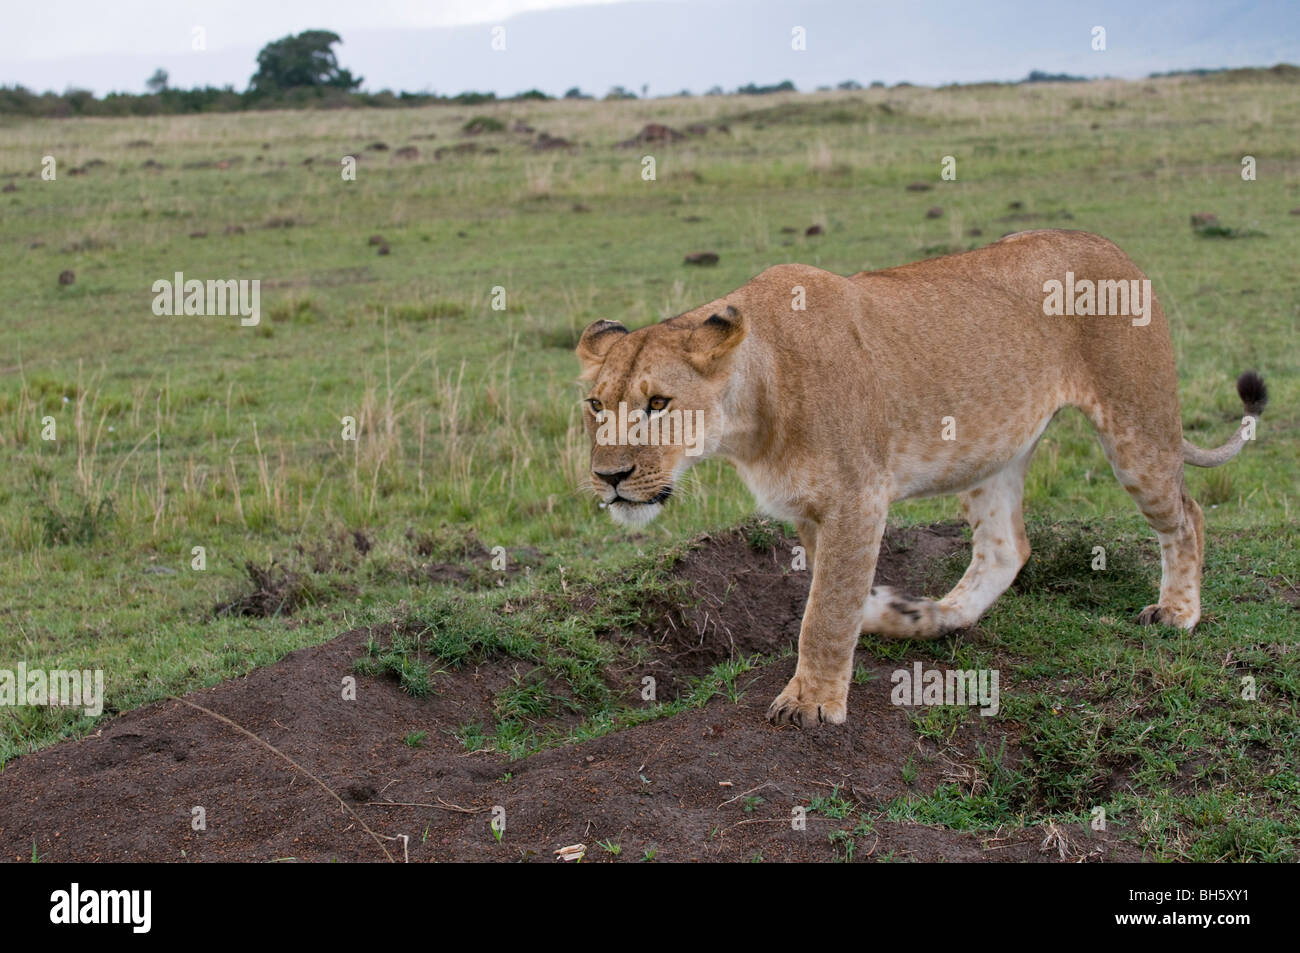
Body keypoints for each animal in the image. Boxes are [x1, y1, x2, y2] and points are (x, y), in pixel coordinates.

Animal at [575, 229, 1266, 728]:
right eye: (595, 405)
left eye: (658, 404)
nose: (609, 477)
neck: (751, 416)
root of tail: (1113, 246)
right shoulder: (812, 508)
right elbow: (835, 591)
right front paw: (877, 613)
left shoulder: (857, 497)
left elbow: (824, 612)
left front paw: (810, 704)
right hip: (992, 450)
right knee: (1006, 549)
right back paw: (929, 617)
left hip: (1136, 431)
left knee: (1187, 515)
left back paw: (1177, 613)